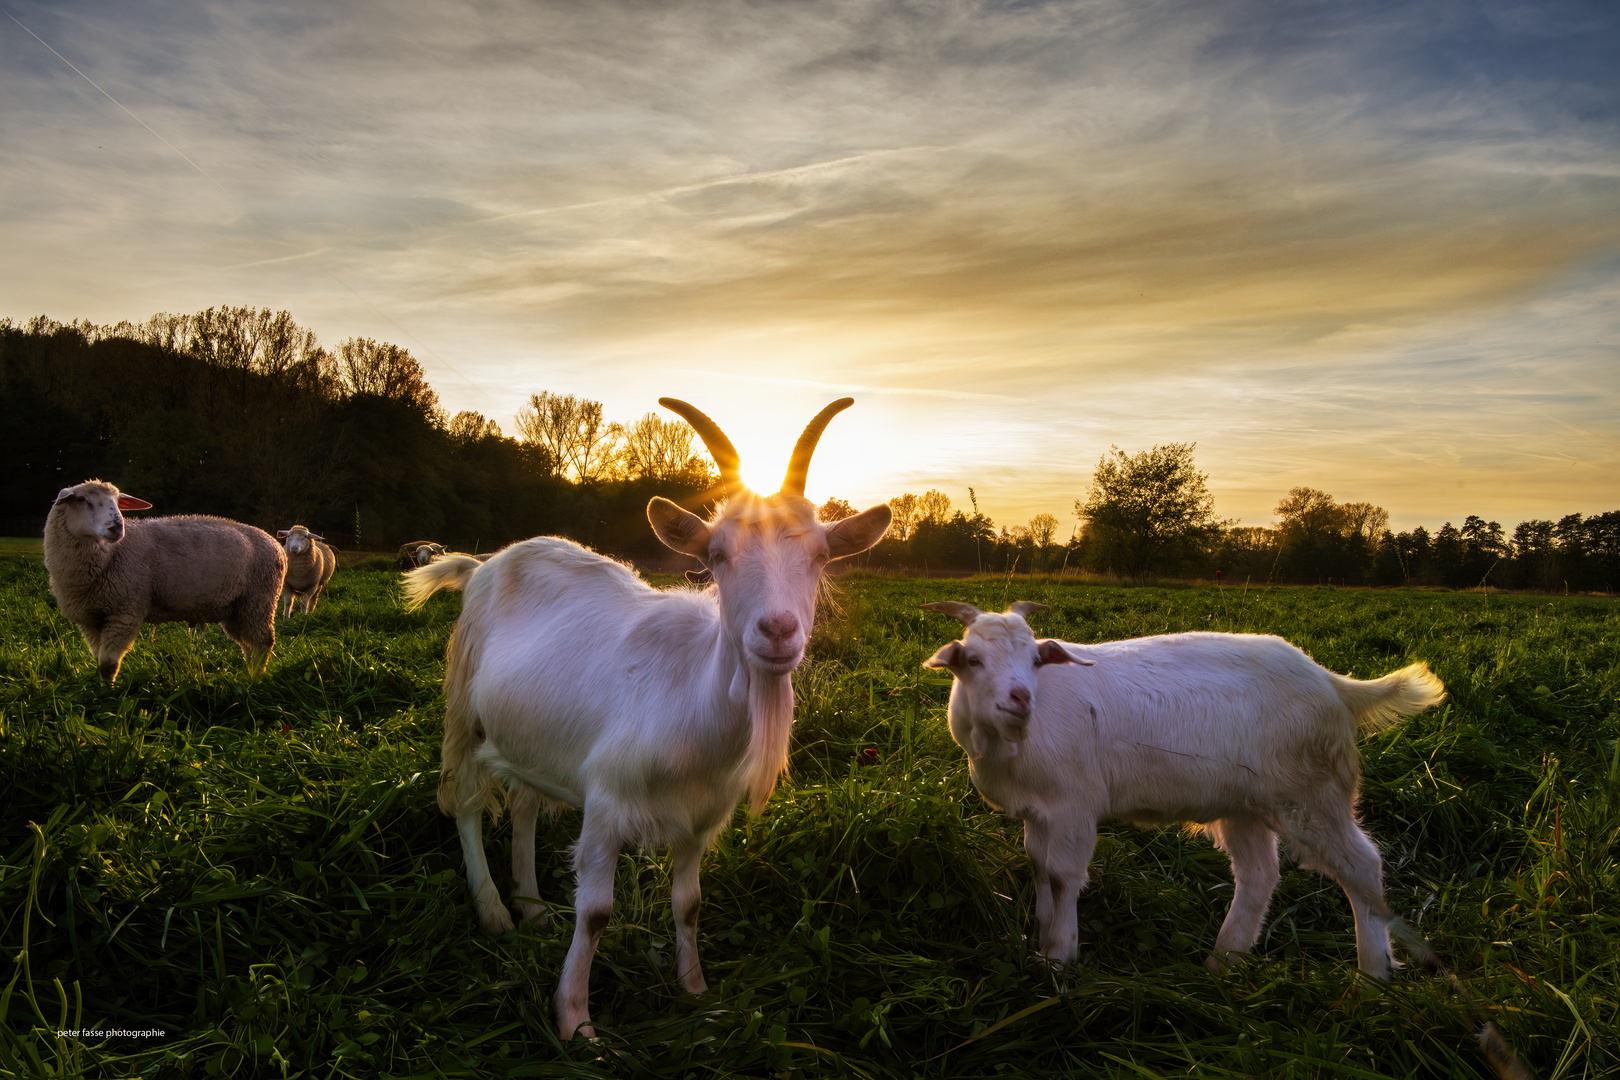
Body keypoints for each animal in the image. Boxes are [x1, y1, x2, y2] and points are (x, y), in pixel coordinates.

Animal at [42, 479, 289, 680]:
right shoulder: (90, 619)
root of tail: (275, 544)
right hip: (238, 608)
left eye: (118, 501)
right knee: (248, 645)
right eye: (82, 500)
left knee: (263, 642)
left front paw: (108, 699)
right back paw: (249, 673)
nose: (117, 527)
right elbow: (98, 661)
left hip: (259, 600)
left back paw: (255, 679)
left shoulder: (124, 612)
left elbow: (108, 664)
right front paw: (102, 693)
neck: (111, 554)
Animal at [400, 399, 894, 1036]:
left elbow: (690, 903)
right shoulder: (608, 800)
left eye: (822, 556)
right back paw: (494, 912)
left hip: (533, 732)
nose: (779, 631)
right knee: (463, 800)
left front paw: (697, 990)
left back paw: (532, 908)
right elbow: (595, 912)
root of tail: (486, 562)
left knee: (525, 805)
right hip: (464, 704)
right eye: (716, 555)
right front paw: (575, 1019)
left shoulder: (701, 818)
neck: (692, 702)